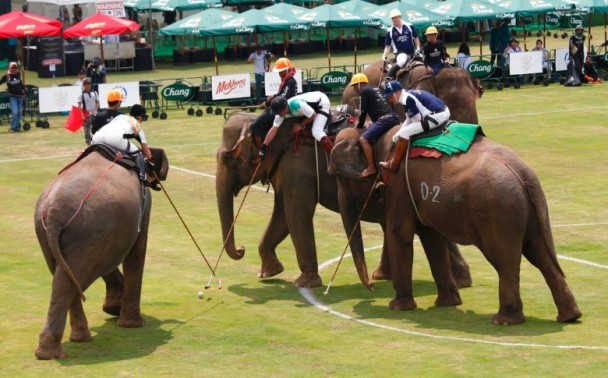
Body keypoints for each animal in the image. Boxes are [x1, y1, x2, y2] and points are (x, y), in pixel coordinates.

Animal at [34, 146, 170, 358]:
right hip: (87, 230)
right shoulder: (144, 204)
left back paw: (66, 344)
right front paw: (131, 324)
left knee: (65, 277)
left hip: (56, 233)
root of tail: (54, 212)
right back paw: (58, 350)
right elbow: (136, 250)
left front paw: (113, 309)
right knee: (71, 279)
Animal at [216, 110, 472, 290]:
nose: (241, 249)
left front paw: (304, 283)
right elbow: (281, 216)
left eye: (228, 158)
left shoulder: (298, 166)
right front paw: (269, 273)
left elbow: (296, 213)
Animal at [330, 126, 580, 324]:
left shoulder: (398, 182)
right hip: (532, 216)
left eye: (341, 178)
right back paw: (570, 316)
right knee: (541, 257)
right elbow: (431, 238)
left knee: (506, 262)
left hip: (499, 215)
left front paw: (397, 307)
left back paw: (504, 320)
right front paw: (448, 303)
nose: (372, 286)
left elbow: (400, 233)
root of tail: (525, 176)